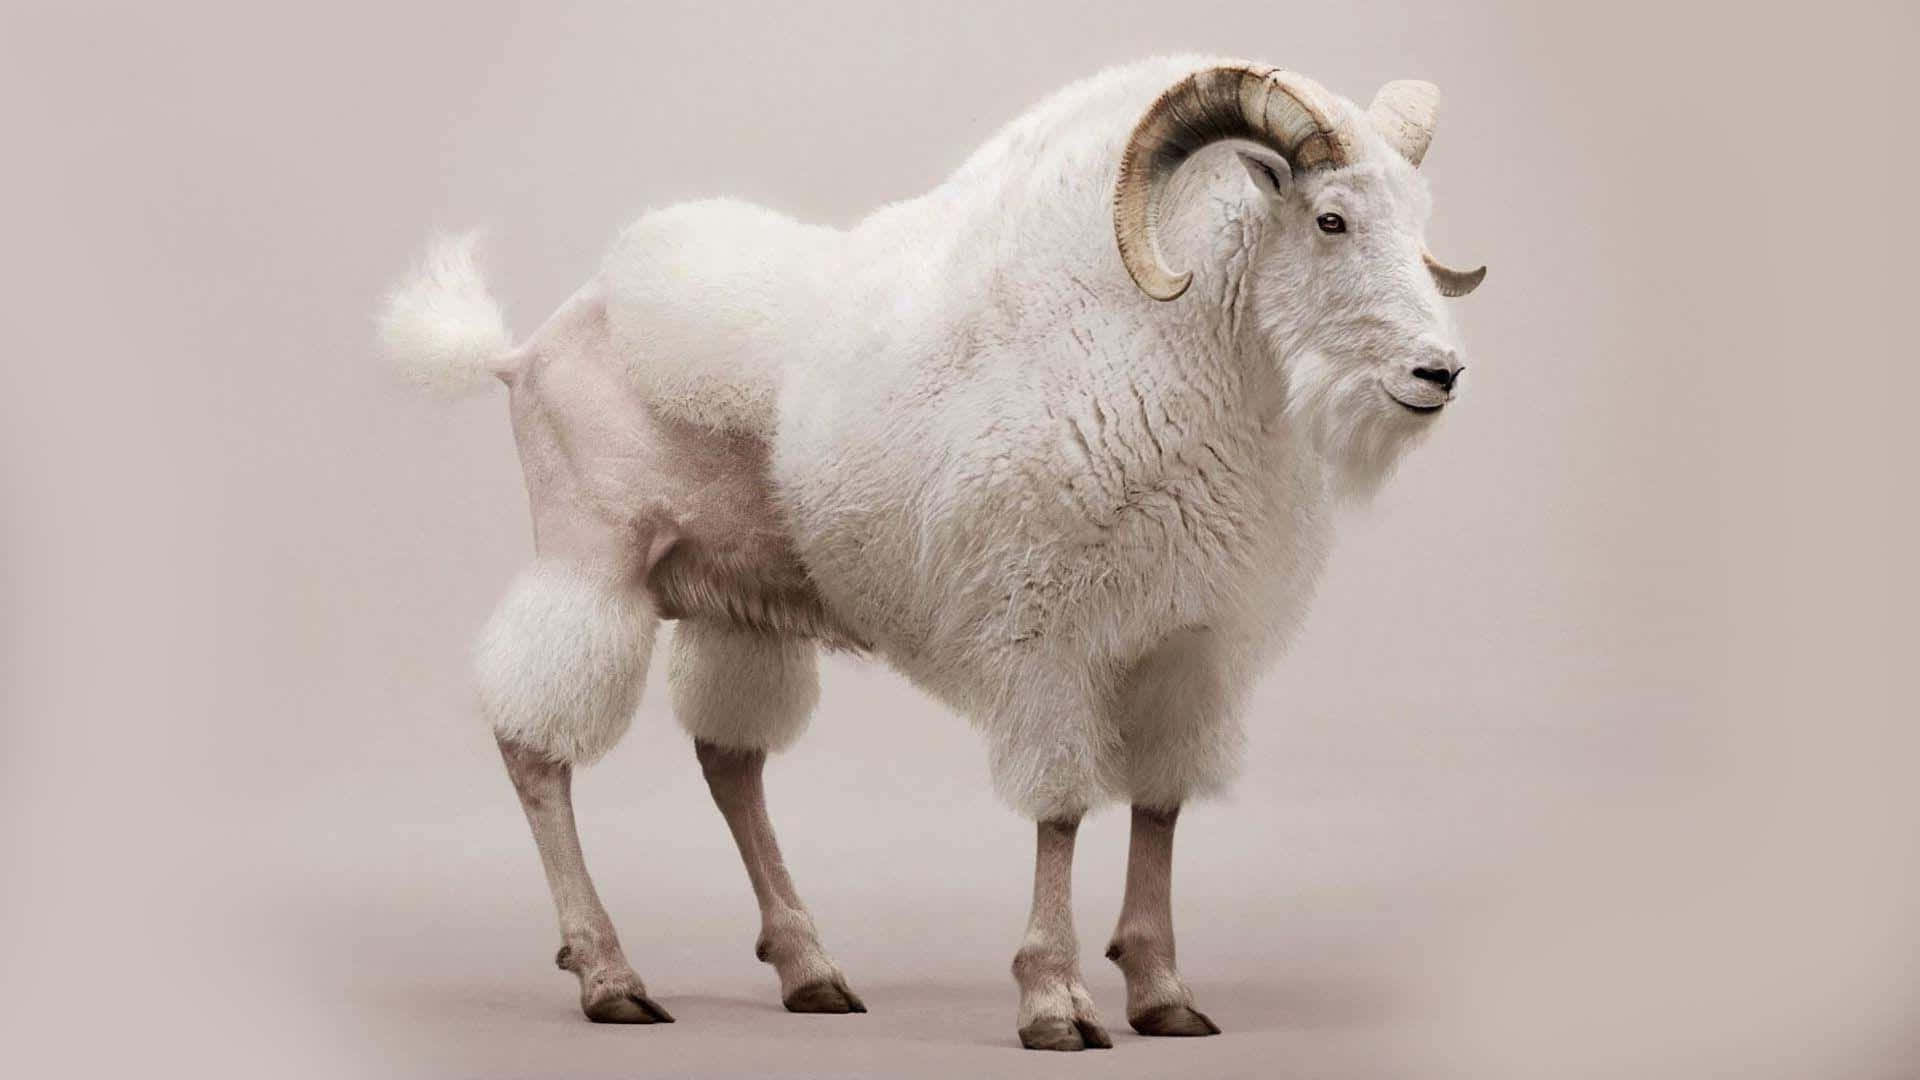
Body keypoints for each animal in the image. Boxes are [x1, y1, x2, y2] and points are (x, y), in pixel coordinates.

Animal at [380, 55, 1485, 1051]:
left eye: (1416, 221)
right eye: (1330, 219)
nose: (1438, 373)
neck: (1155, 351)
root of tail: (525, 350)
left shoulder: (1182, 654)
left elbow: (1159, 811)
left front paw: (1163, 993)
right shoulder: (1050, 645)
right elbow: (1060, 809)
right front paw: (1055, 1002)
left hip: (731, 603)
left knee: (729, 764)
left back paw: (810, 969)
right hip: (590, 562)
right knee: (535, 747)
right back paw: (609, 976)